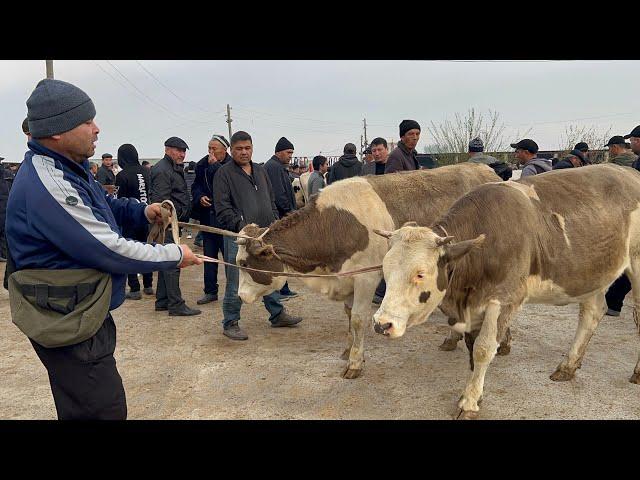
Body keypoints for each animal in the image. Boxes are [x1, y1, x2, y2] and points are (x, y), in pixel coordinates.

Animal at [234, 164, 500, 378]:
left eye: (244, 265)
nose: (240, 296)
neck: (334, 224)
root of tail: (484, 168)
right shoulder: (346, 280)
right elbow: (349, 315)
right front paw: (348, 349)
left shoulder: (366, 278)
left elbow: (359, 318)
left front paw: (354, 363)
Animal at [372, 163, 640, 418]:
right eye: (385, 268)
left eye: (420, 273)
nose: (382, 324)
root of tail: (628, 171)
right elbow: (471, 344)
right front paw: (476, 392)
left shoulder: (504, 299)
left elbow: (483, 348)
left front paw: (469, 402)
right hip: (591, 272)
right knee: (592, 312)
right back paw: (567, 367)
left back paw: (635, 372)